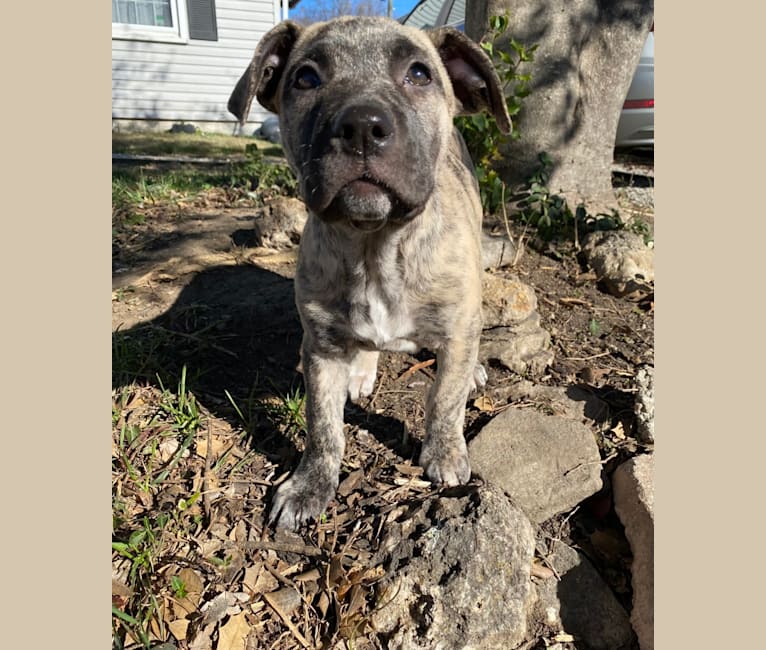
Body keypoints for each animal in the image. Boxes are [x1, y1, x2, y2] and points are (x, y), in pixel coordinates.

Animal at [231, 15, 512, 528]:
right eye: (305, 78)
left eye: (420, 74)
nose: (362, 126)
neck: (375, 247)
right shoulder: (319, 349)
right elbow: (323, 426)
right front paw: (310, 484)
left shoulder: (457, 329)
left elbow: (444, 399)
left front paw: (444, 452)